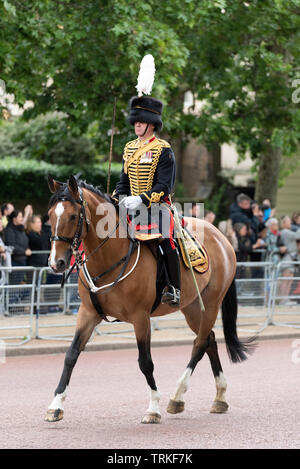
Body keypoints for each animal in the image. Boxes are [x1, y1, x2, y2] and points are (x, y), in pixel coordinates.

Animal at [44, 176, 253, 424]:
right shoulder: (88, 313)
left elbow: (145, 362)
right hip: (192, 307)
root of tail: (222, 237)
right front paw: (55, 405)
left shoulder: (140, 317)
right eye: (49, 215)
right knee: (209, 340)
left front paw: (153, 407)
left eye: (73, 216)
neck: (111, 255)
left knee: (200, 343)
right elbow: (71, 355)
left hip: (210, 305)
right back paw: (218, 397)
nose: (56, 262)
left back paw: (177, 396)